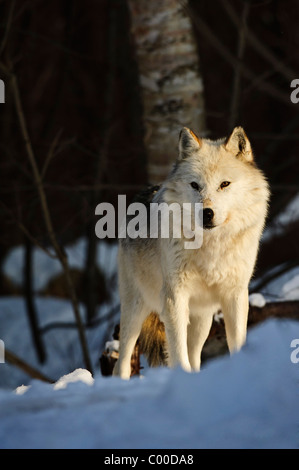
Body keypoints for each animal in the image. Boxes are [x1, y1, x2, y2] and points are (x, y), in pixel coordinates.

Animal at [113, 126, 270, 380]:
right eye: (195, 185)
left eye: (224, 184)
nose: (207, 213)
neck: (210, 245)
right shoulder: (174, 297)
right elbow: (178, 354)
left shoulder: (236, 295)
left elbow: (236, 341)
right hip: (135, 308)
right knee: (122, 363)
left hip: (202, 319)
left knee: (195, 356)